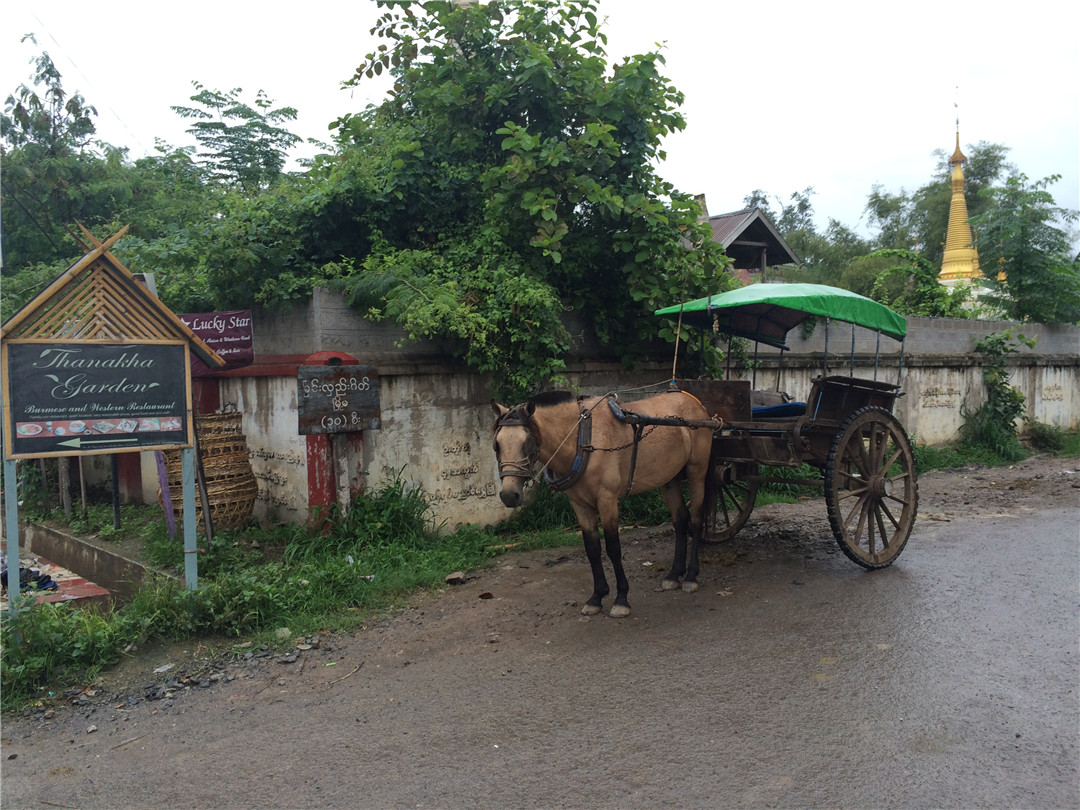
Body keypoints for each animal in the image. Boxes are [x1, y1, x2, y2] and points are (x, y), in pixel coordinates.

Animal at [490, 390, 717, 617]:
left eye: (527, 442)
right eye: (497, 444)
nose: (509, 495)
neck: (582, 439)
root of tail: (694, 401)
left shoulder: (607, 500)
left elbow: (613, 547)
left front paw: (621, 598)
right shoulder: (579, 505)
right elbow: (592, 548)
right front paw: (597, 597)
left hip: (697, 472)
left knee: (696, 520)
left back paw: (691, 576)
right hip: (669, 478)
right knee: (680, 520)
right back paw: (674, 575)